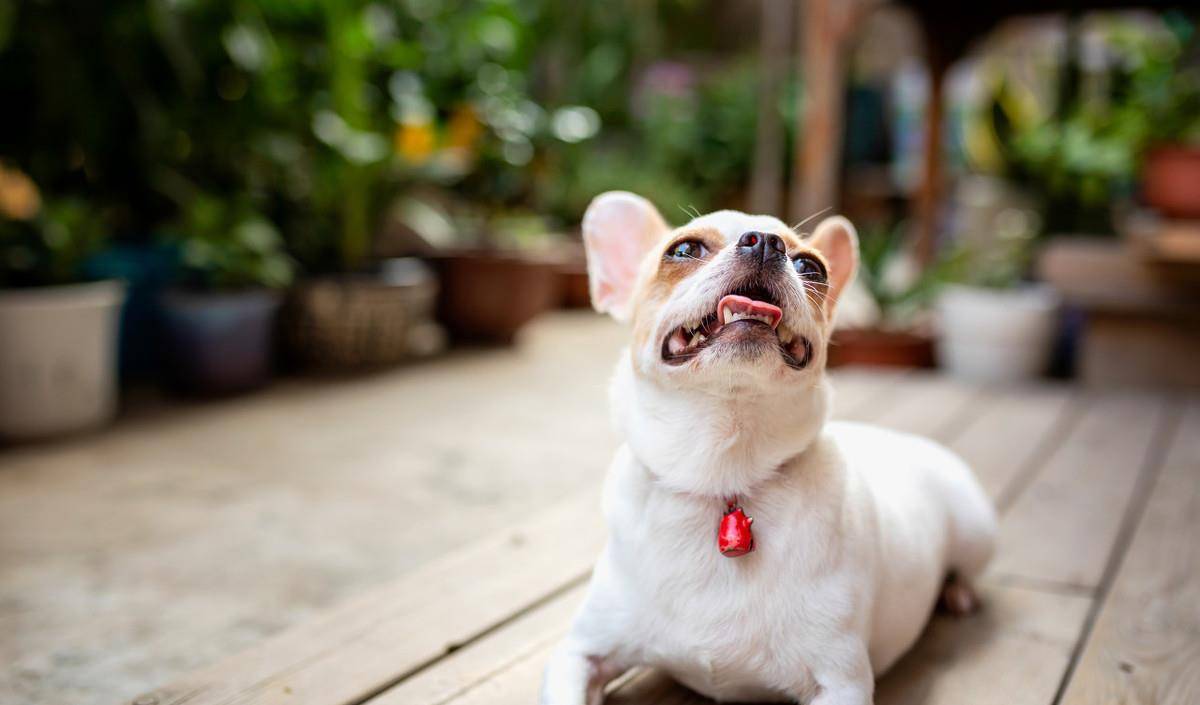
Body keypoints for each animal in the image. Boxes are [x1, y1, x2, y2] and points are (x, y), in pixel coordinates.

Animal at [540, 193, 998, 705]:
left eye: (811, 267)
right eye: (683, 250)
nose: (764, 242)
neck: (722, 471)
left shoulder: (842, 680)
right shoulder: (579, 653)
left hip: (977, 531)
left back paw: (957, 592)